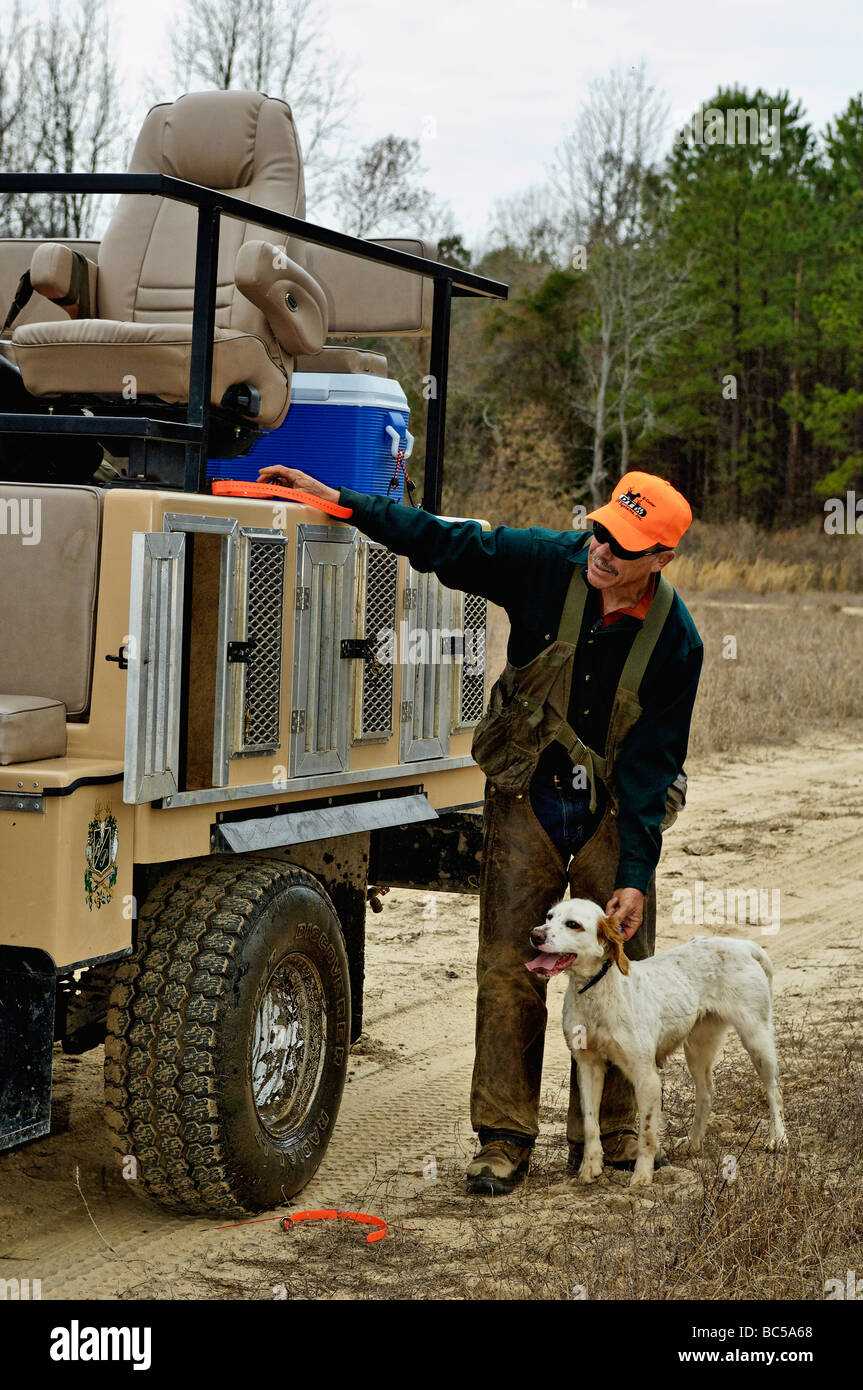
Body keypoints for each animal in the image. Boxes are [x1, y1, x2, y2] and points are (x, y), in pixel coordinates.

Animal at [525, 900, 789, 1184]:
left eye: (573, 924)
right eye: (549, 917)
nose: (535, 934)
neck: (596, 992)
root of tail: (743, 945)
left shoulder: (646, 1076)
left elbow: (647, 1133)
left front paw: (642, 1176)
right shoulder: (588, 1066)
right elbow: (590, 1123)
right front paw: (589, 1168)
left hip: (756, 1037)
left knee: (774, 1090)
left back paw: (778, 1138)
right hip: (698, 1047)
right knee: (707, 1091)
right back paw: (694, 1142)